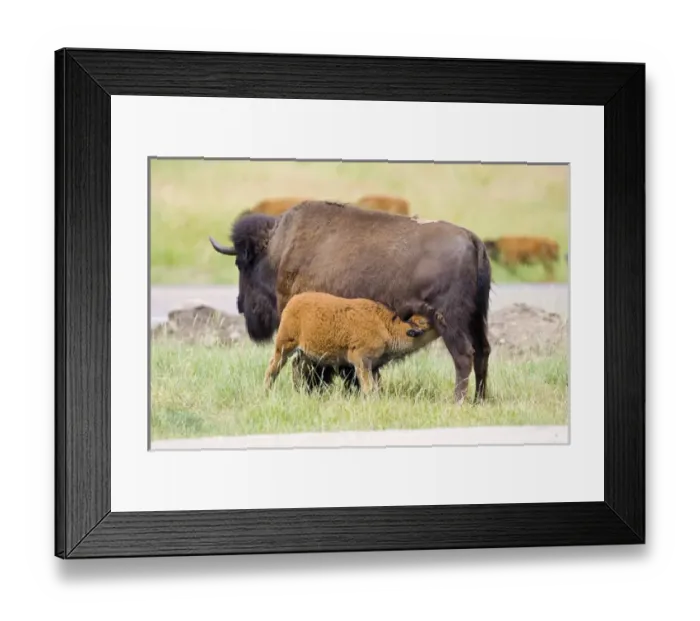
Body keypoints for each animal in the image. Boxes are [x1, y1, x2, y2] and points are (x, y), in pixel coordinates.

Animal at [209, 200, 492, 404]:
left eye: (241, 264)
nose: (240, 304)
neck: (277, 253)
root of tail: (473, 241)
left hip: (450, 322)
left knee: (464, 356)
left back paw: (458, 401)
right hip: (478, 319)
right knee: (483, 352)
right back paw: (479, 400)